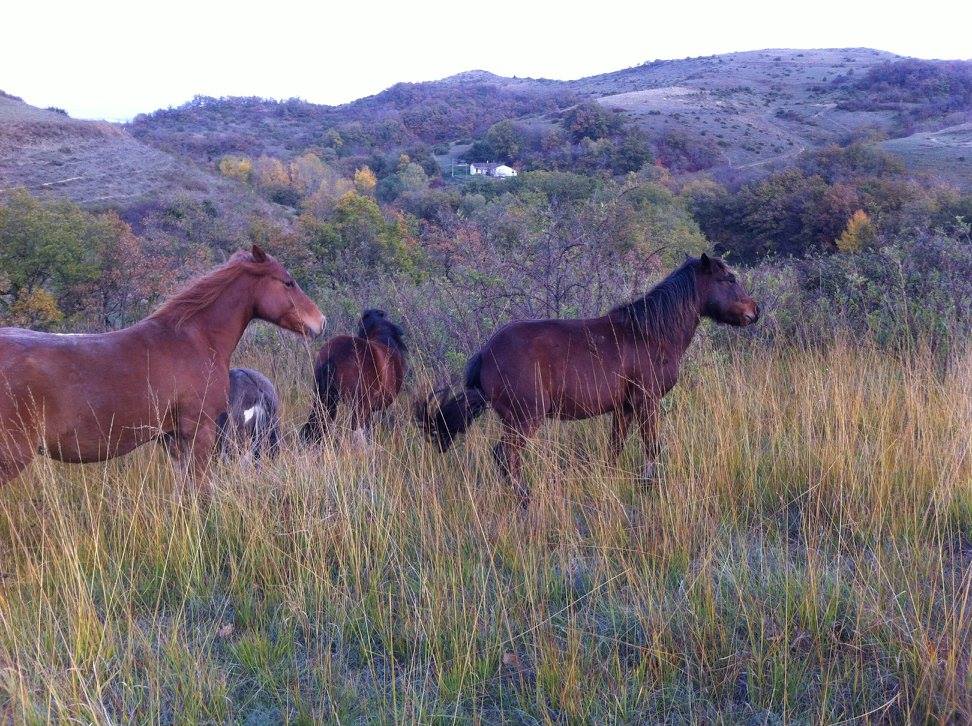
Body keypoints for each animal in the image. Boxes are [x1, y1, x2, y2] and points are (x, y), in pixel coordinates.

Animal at [416, 253, 760, 504]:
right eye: (729, 278)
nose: (755, 311)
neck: (649, 332)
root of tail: (486, 353)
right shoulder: (647, 401)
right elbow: (652, 446)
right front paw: (650, 484)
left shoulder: (624, 408)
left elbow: (614, 449)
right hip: (524, 419)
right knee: (505, 456)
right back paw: (525, 498)